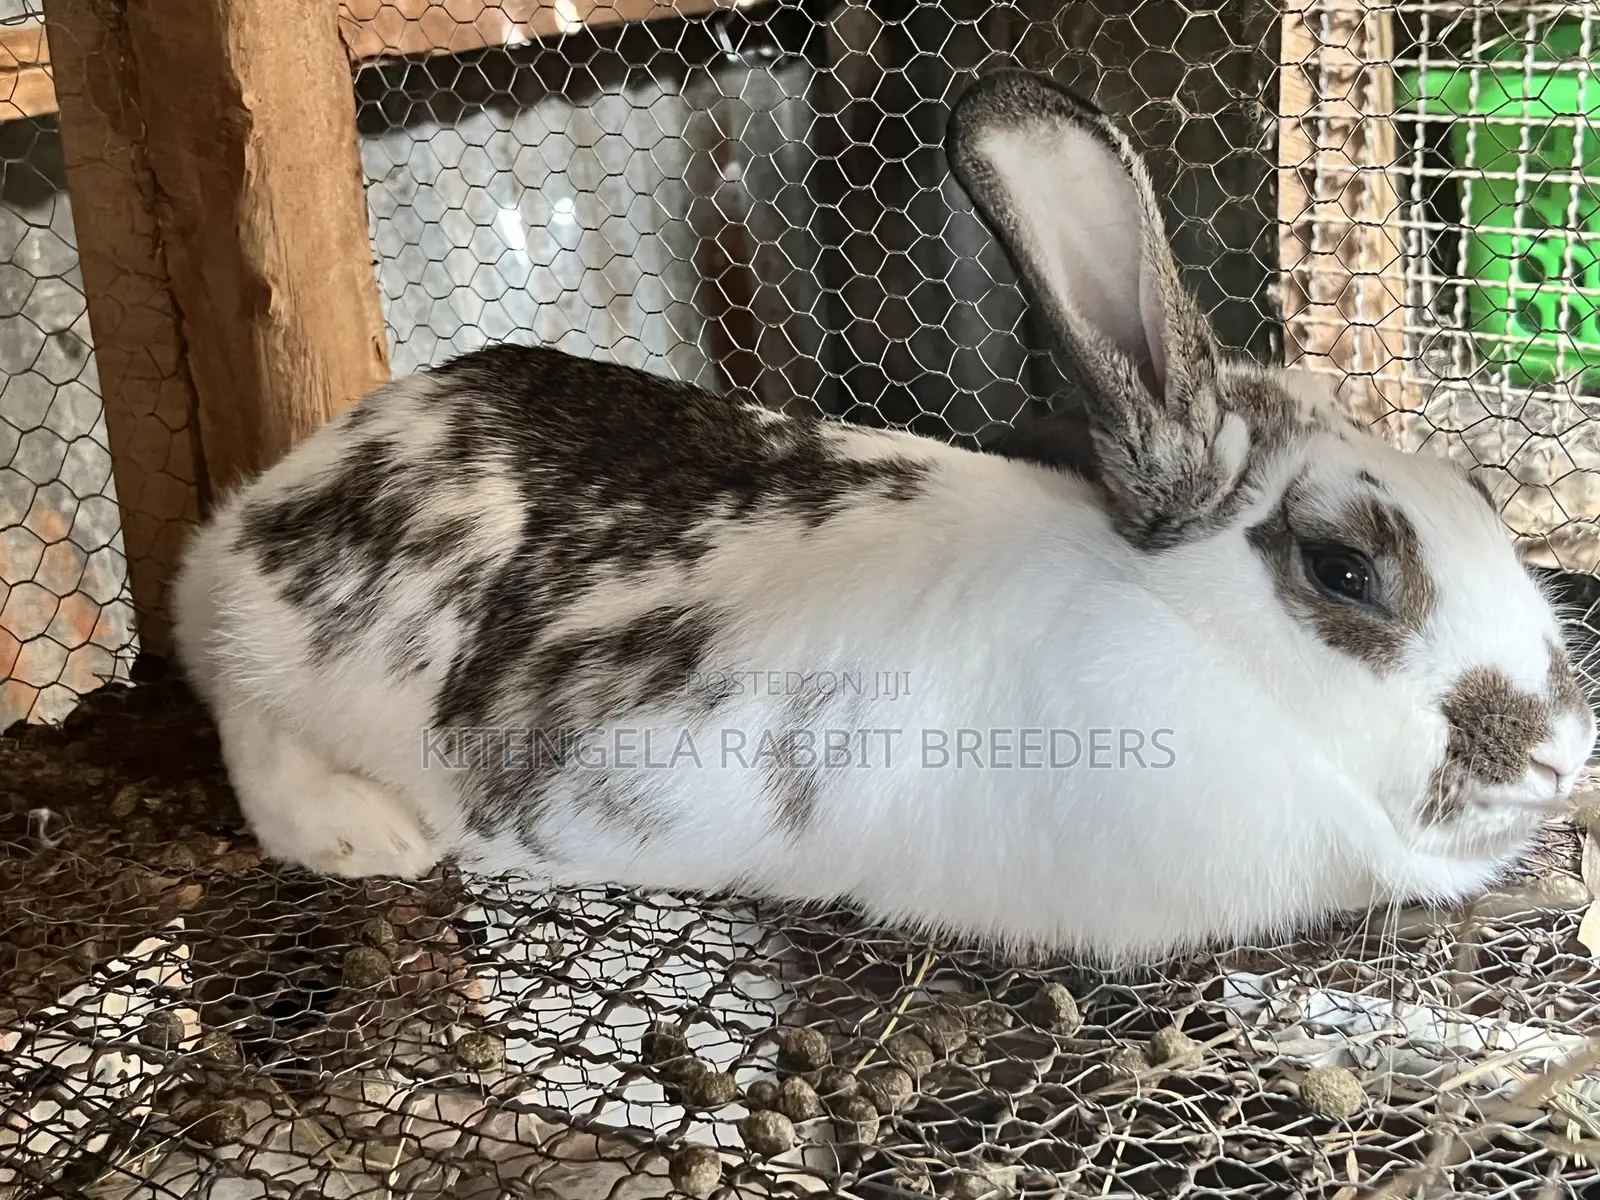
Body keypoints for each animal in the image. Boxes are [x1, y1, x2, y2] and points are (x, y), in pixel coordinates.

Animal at [168, 68, 1597, 966]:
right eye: (1343, 568)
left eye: (1481, 496)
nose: (1559, 751)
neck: (1193, 642)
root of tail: (262, 508)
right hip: (309, 654)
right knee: (236, 703)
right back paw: (362, 835)